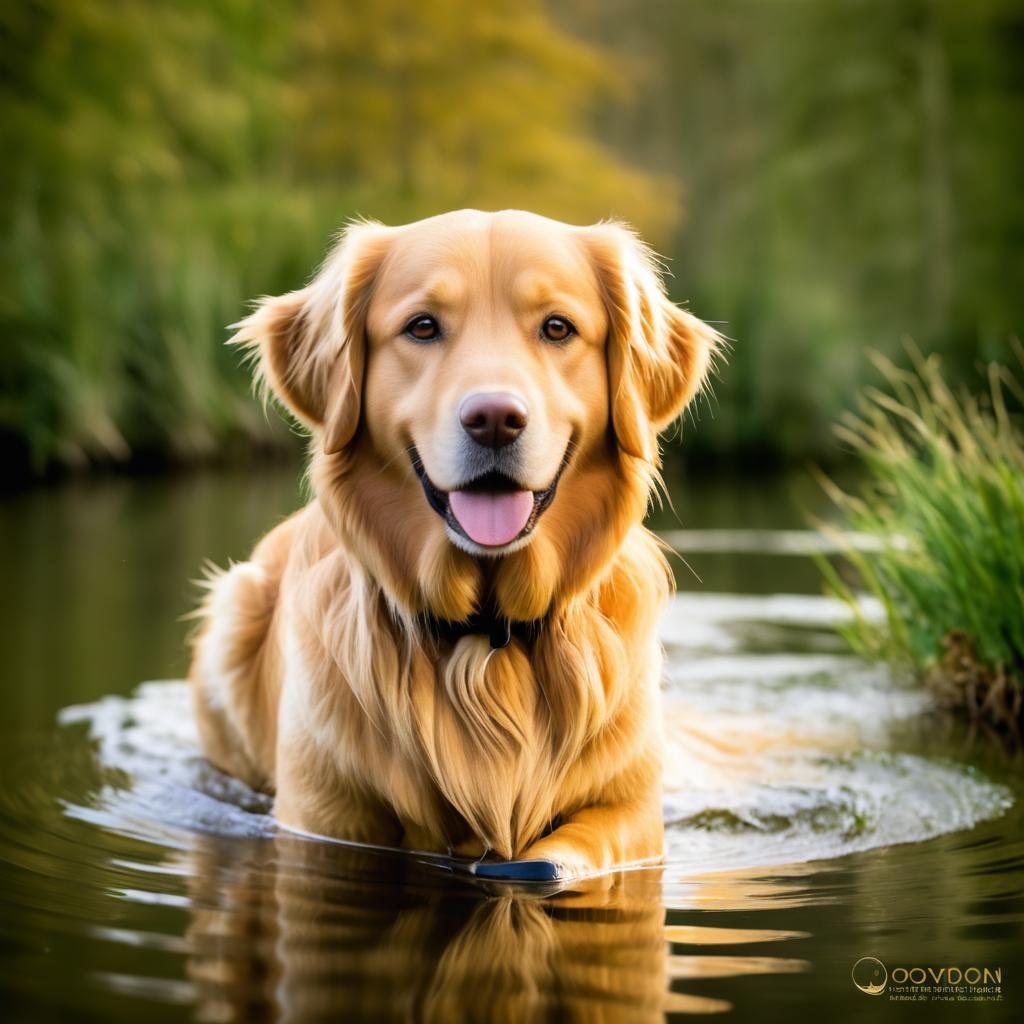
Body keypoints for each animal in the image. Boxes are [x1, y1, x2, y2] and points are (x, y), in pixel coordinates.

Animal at [188, 207, 716, 880]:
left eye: (557, 328)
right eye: (422, 327)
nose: (494, 419)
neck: (486, 638)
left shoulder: (633, 812)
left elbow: (568, 852)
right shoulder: (321, 813)